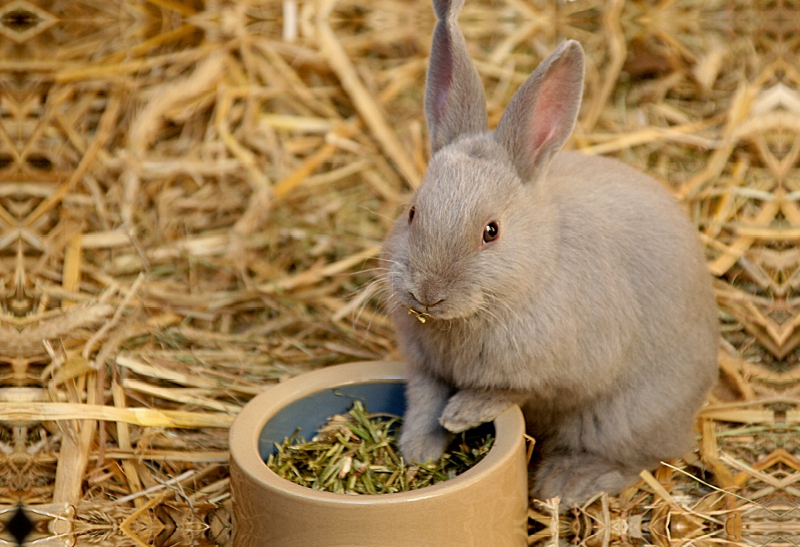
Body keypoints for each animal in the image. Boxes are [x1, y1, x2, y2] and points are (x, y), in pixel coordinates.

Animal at [382, 0, 720, 508]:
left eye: (491, 232)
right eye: (412, 212)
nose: (427, 294)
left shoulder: (556, 373)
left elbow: (511, 391)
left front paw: (462, 414)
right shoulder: (426, 369)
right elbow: (423, 403)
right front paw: (418, 450)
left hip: (621, 419)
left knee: (636, 457)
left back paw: (566, 484)